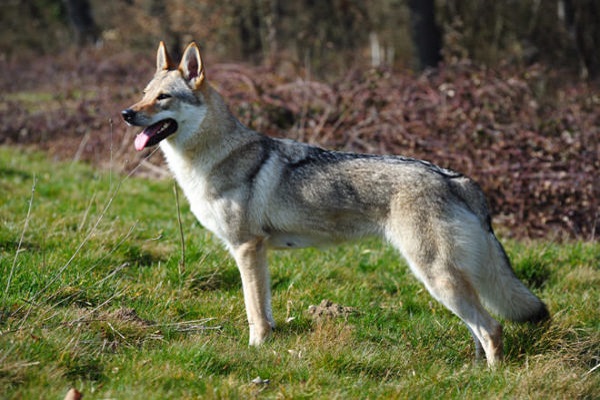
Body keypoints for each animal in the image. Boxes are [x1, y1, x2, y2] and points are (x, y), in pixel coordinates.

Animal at [120, 42, 548, 368]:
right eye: (143, 93)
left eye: (163, 98)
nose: (126, 113)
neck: (213, 158)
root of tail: (456, 178)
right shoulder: (258, 253)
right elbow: (265, 310)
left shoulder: (246, 248)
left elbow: (254, 313)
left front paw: (256, 351)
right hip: (448, 281)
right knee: (479, 329)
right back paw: (470, 371)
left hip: (437, 277)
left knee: (492, 328)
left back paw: (490, 378)